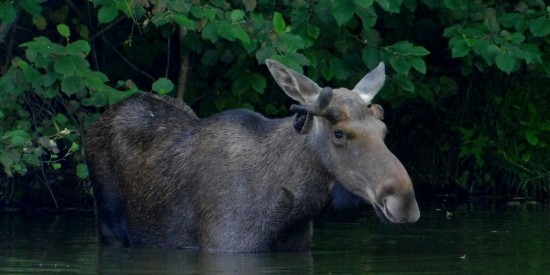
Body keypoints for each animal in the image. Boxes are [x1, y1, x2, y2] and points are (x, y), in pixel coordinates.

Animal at [87, 59, 422, 253]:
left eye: (383, 129)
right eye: (338, 133)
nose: (404, 201)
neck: (292, 211)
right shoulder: (225, 246)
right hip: (109, 224)